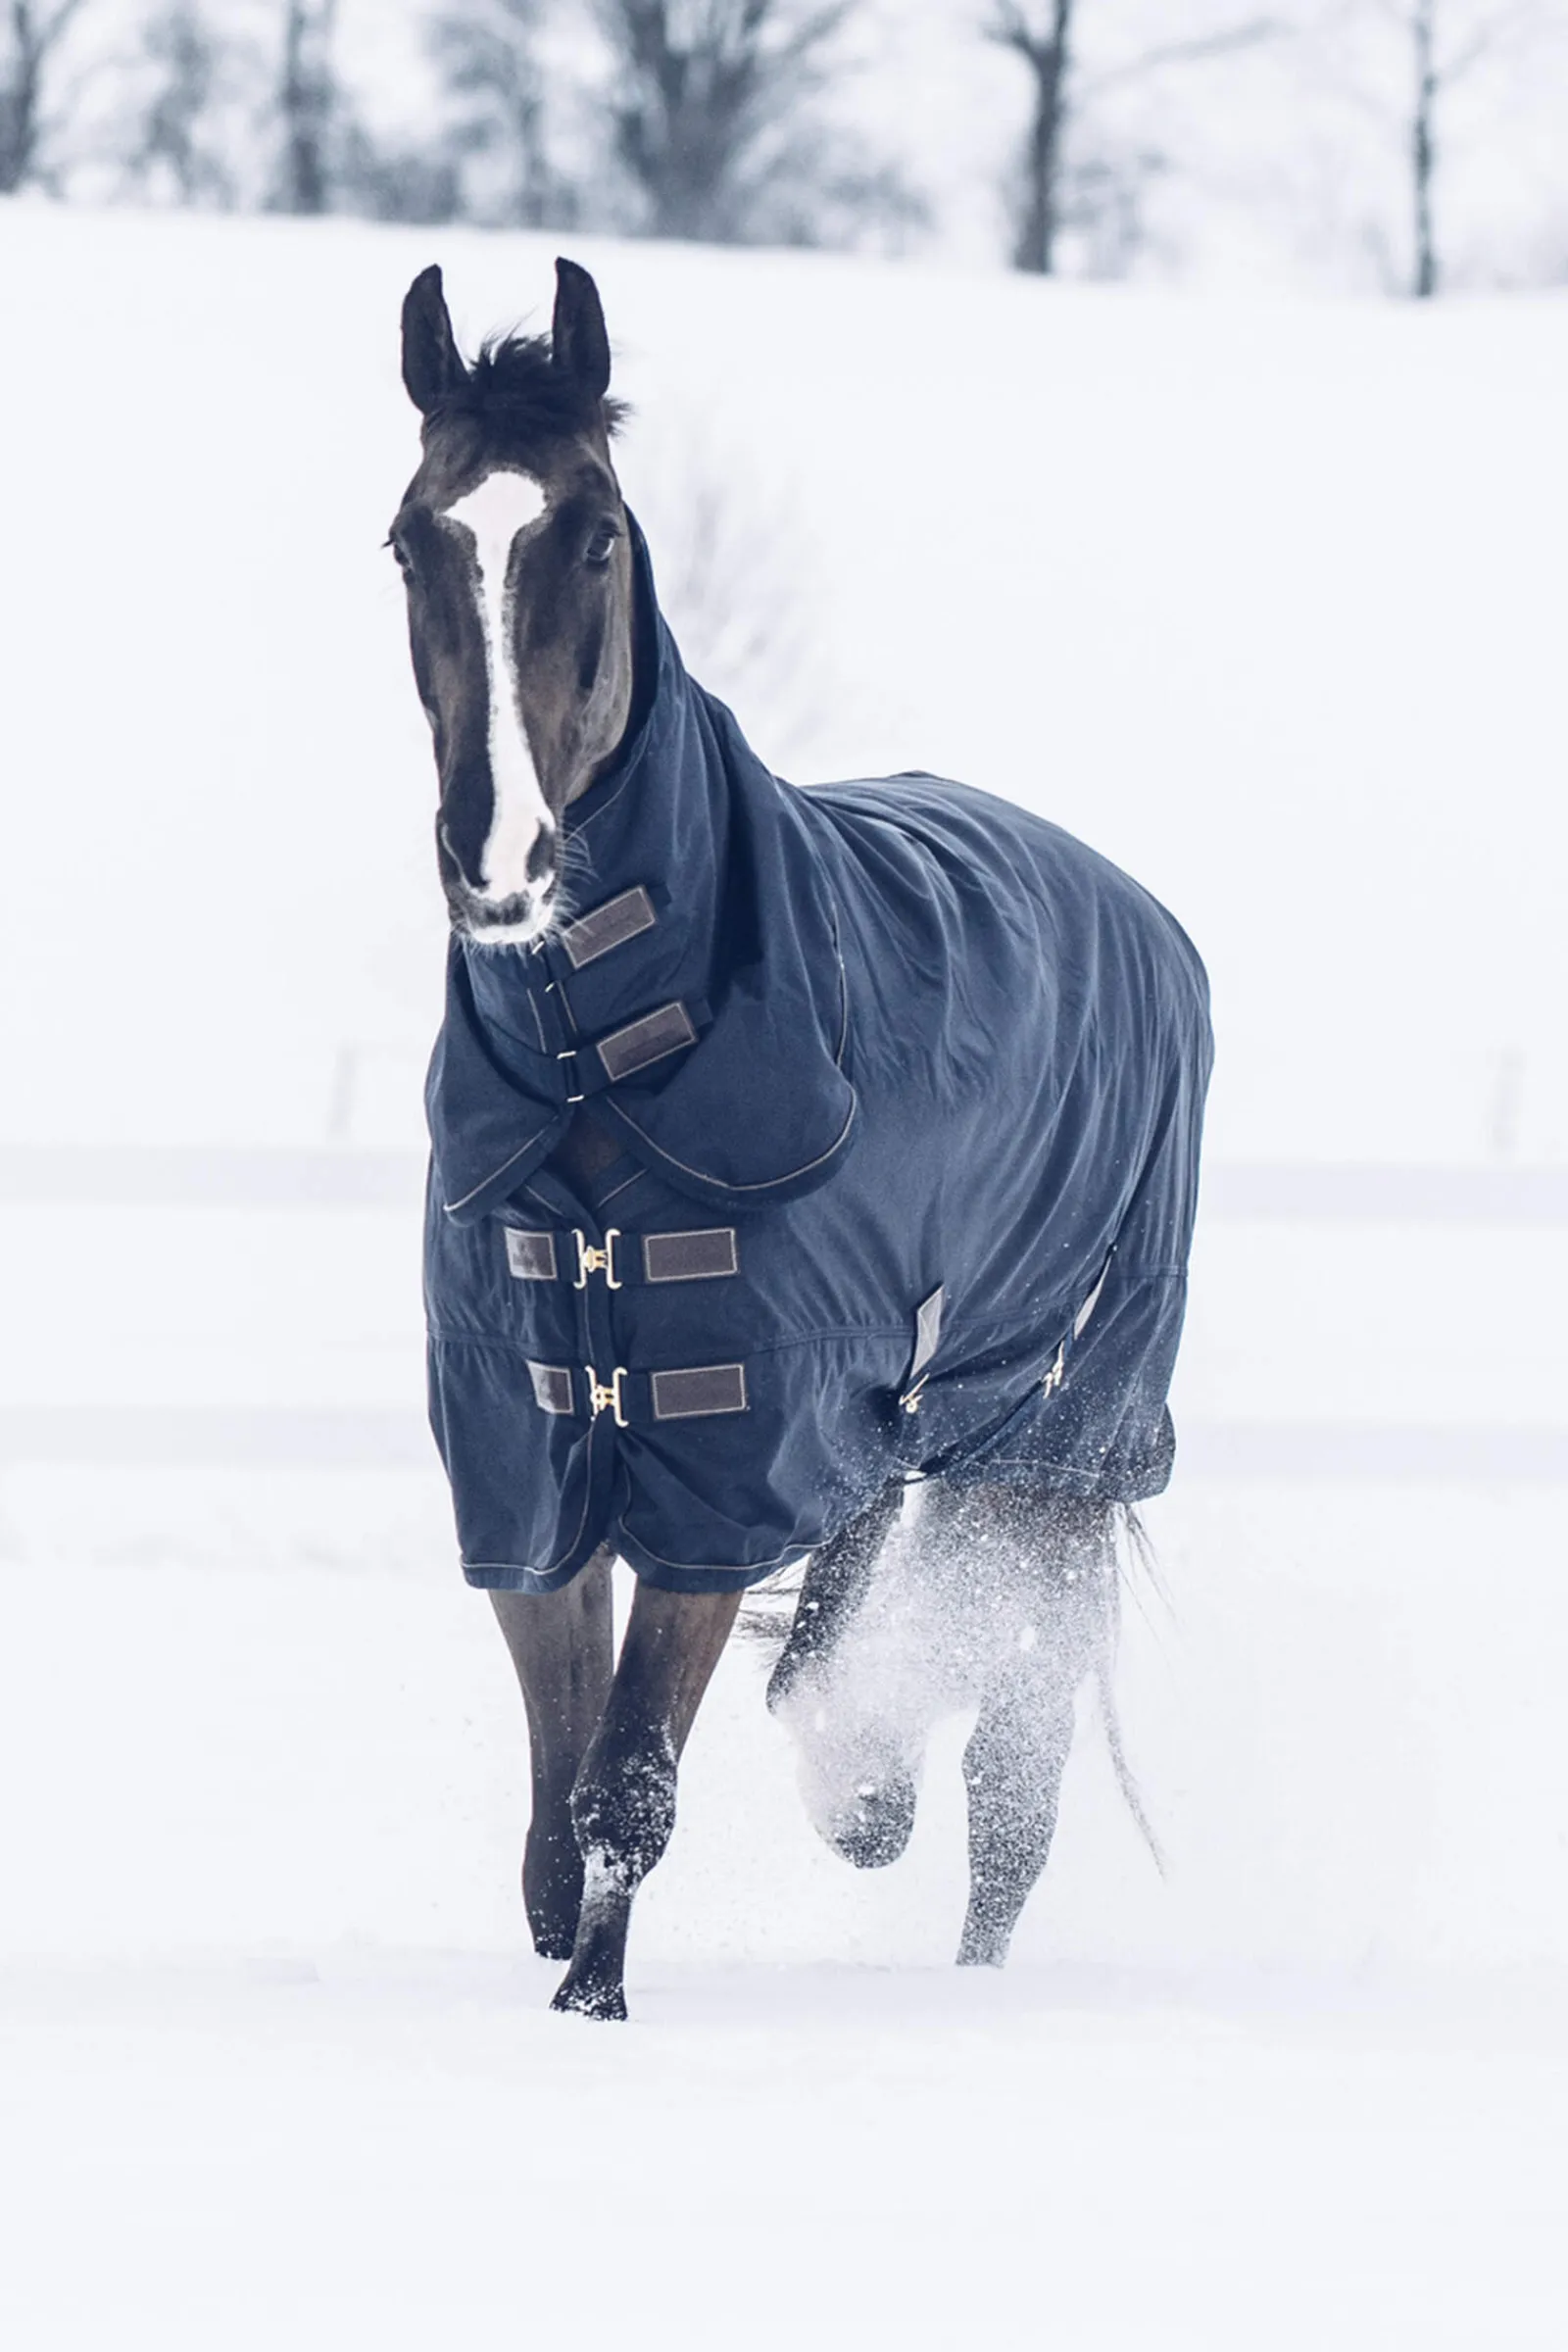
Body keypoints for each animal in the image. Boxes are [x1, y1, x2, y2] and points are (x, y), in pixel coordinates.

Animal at [392, 258, 1211, 2019]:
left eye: (596, 535)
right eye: (413, 538)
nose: (500, 861)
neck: (607, 1073)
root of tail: (1142, 914)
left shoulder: (723, 1463)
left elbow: (625, 1788)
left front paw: (596, 2012)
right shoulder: (533, 1458)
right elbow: (555, 1823)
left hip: (1056, 1459)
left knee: (1008, 1800)